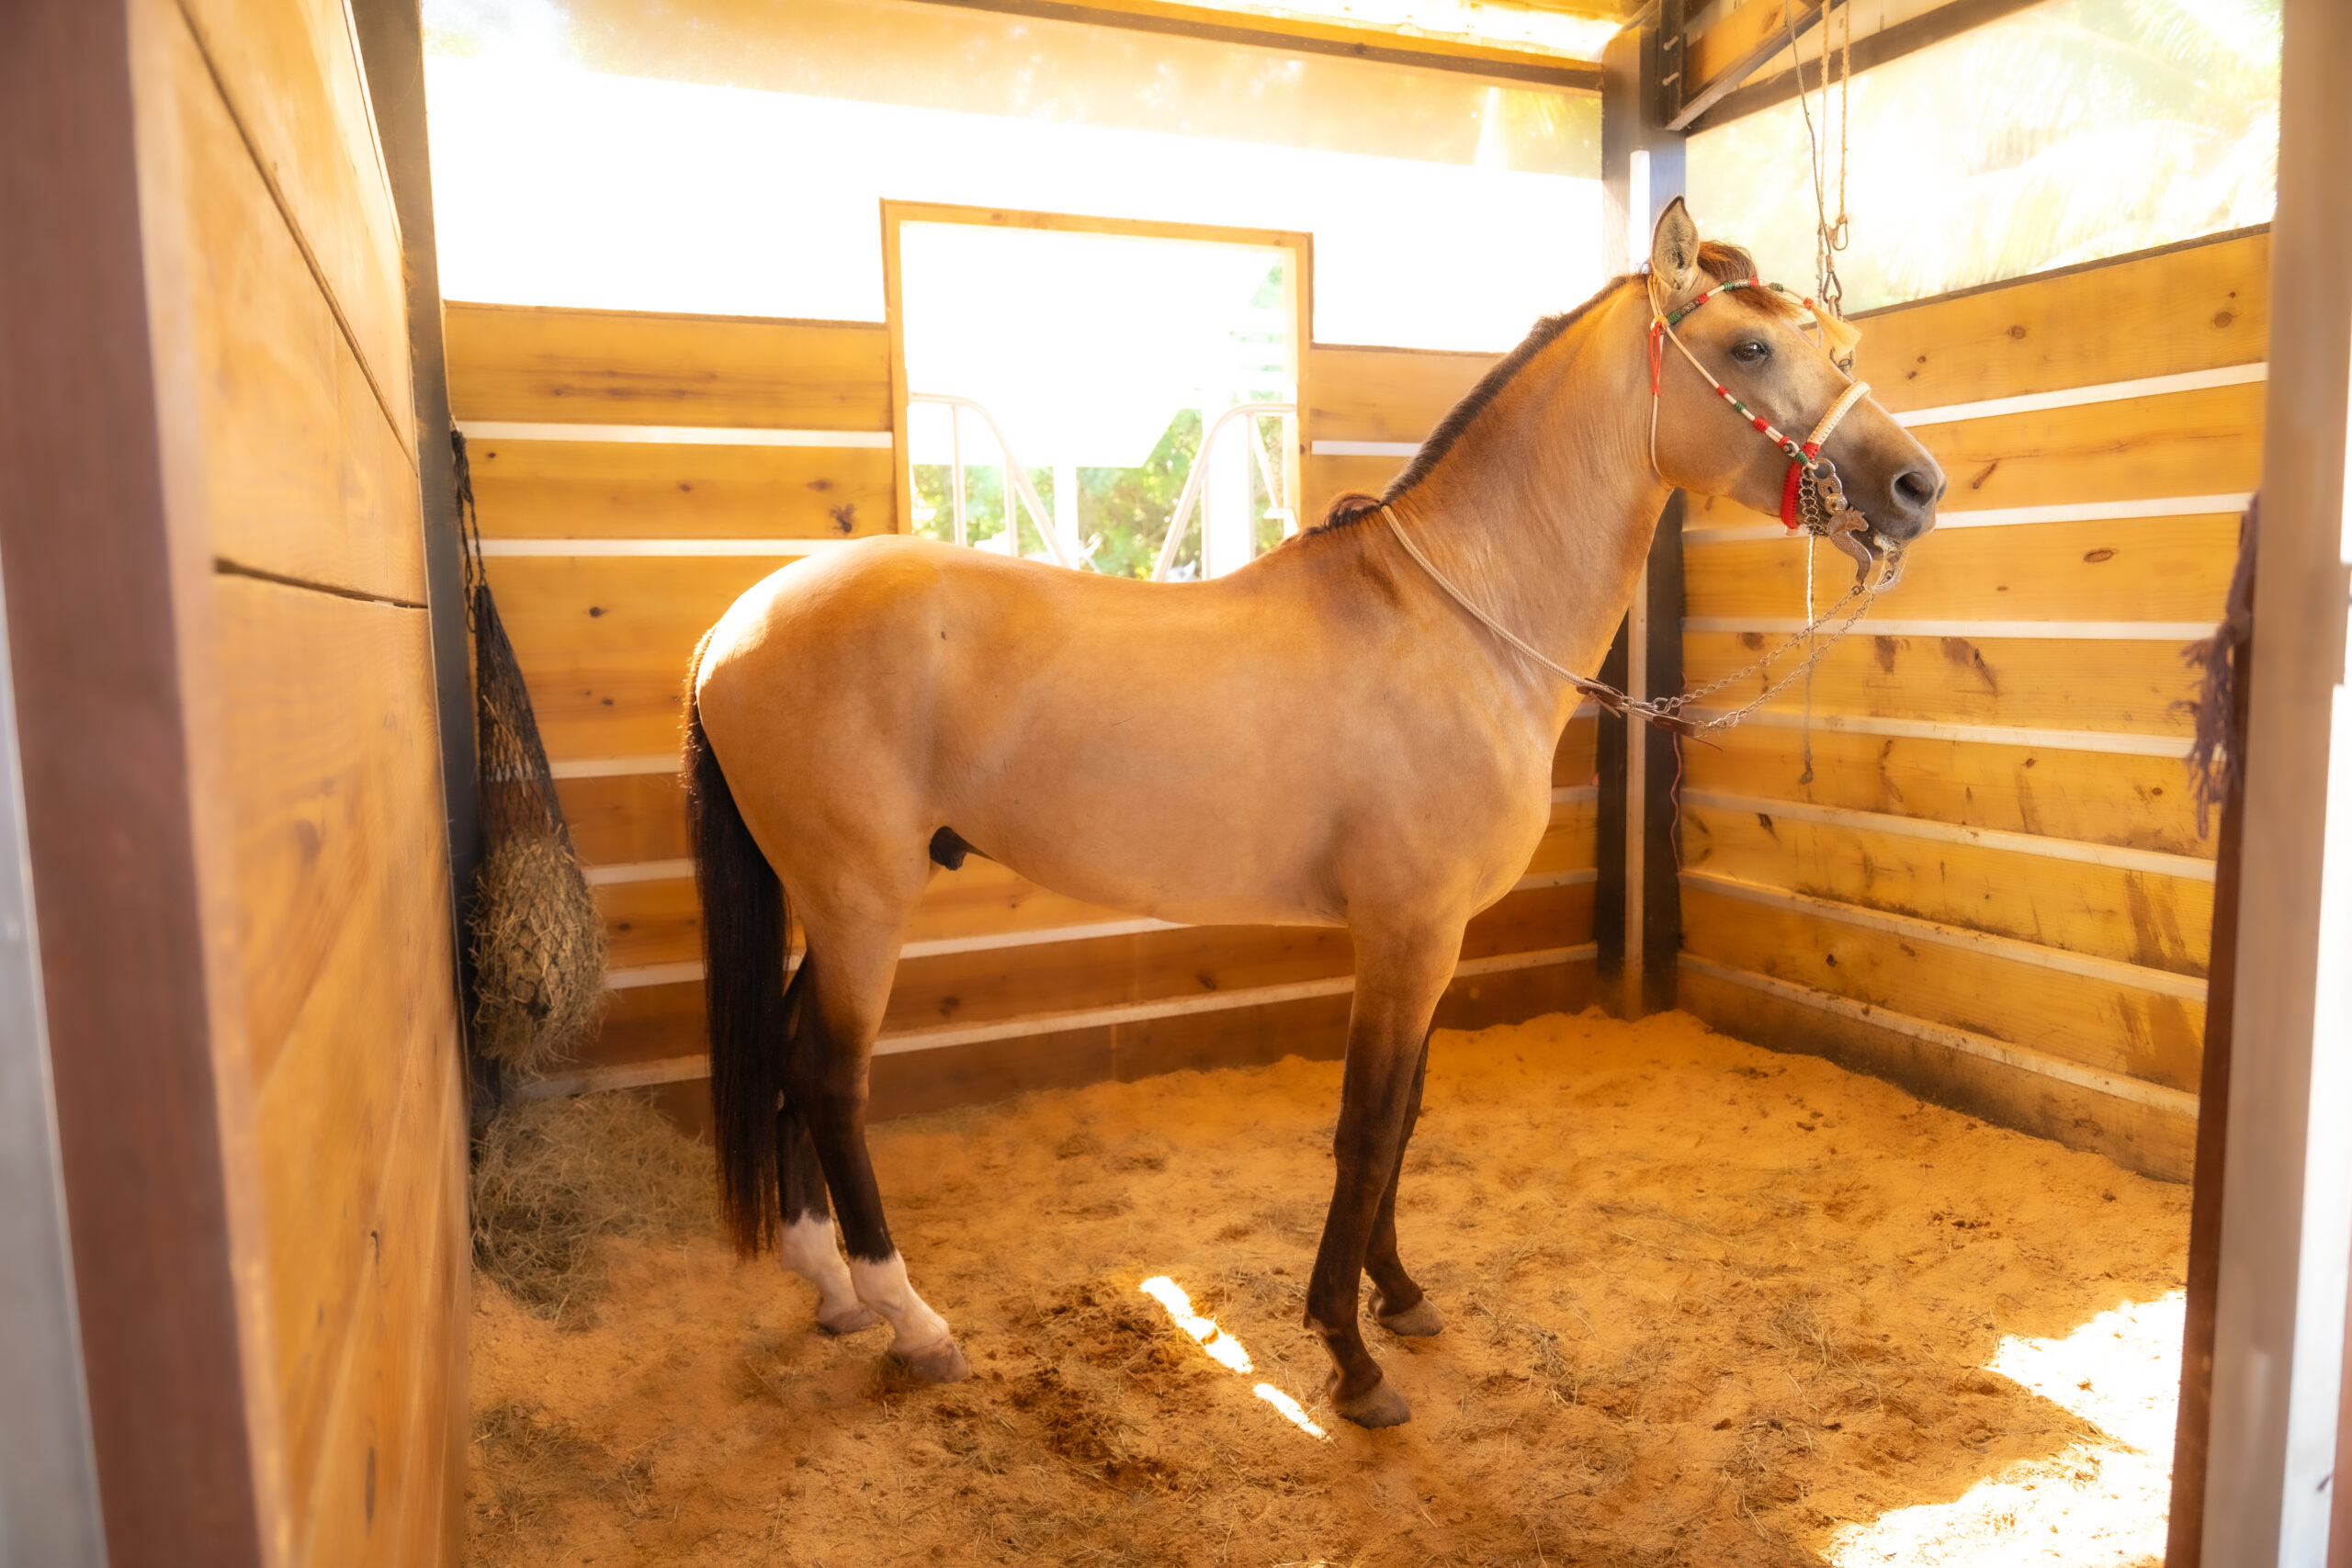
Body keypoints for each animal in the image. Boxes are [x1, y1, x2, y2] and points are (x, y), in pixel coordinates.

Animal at [681, 201, 1945, 1428]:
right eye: (1747, 350)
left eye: (1837, 349)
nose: (1916, 488)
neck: (1463, 619)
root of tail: (734, 626)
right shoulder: (1403, 935)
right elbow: (1366, 1128)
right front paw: (1351, 1357)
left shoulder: (1431, 940)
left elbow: (1404, 1123)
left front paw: (1400, 1297)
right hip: (863, 903)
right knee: (830, 1079)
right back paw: (912, 1321)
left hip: (831, 902)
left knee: (789, 1057)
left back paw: (835, 1290)